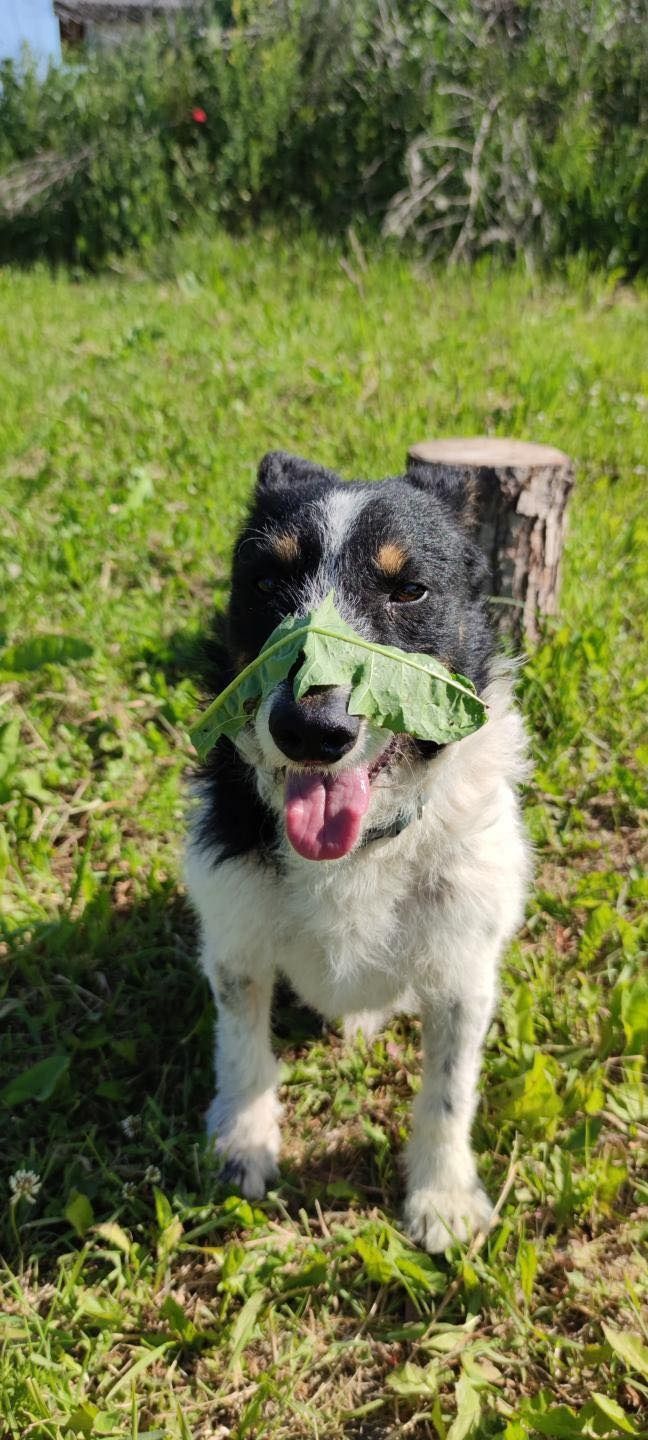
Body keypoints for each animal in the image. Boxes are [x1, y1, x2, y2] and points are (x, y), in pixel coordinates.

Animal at [184, 449, 529, 1249]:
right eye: (266, 584)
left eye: (409, 589)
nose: (312, 730)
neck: (356, 854)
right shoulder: (236, 946)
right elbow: (243, 1053)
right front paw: (243, 1145)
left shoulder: (464, 972)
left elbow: (449, 1090)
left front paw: (443, 1198)